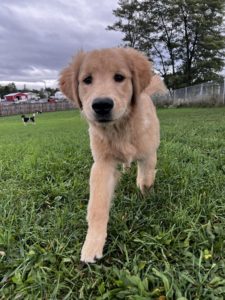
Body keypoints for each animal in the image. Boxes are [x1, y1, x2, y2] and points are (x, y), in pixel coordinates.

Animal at [59, 47, 167, 262]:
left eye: (119, 77)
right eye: (87, 80)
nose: (101, 105)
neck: (120, 128)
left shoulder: (149, 154)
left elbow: (146, 179)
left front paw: (145, 194)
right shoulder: (102, 163)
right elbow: (97, 205)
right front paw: (92, 244)